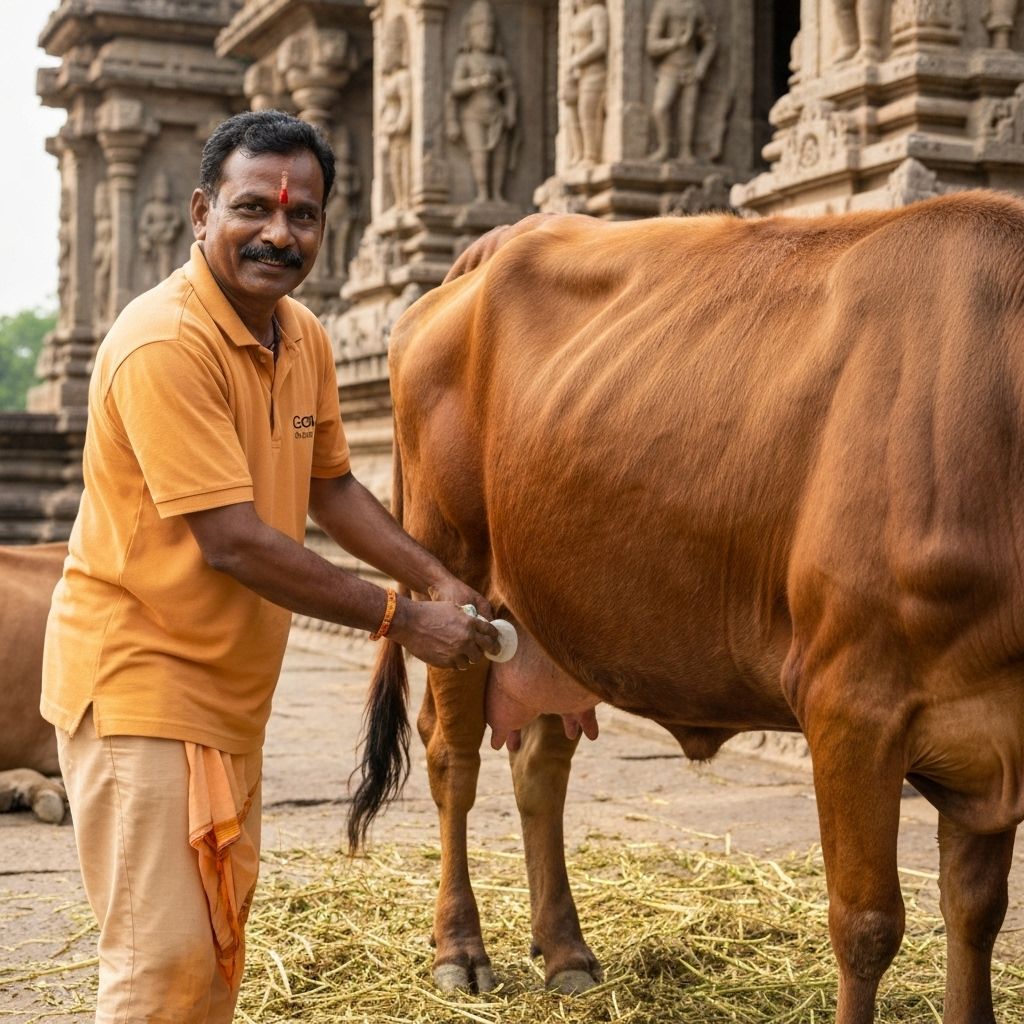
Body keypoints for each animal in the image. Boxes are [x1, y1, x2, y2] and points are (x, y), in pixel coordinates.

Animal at [346, 192, 1024, 1023]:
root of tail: (502, 242)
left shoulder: (988, 731)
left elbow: (976, 912)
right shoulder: (852, 705)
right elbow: (867, 925)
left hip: (553, 612)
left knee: (540, 766)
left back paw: (566, 952)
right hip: (453, 576)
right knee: (453, 758)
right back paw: (460, 949)